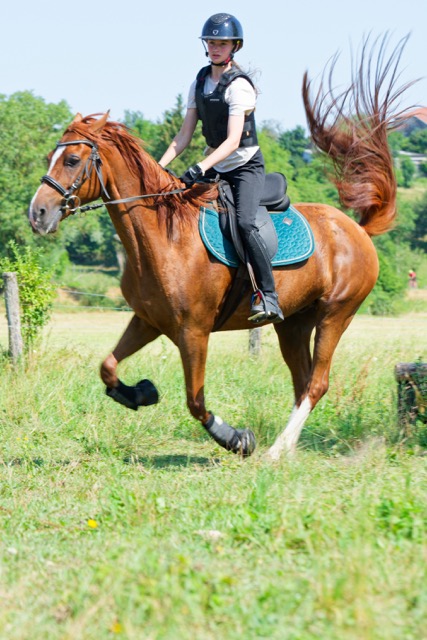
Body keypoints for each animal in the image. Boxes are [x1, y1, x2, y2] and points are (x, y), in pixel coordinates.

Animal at [28, 36, 412, 460]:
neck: (164, 237)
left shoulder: (193, 331)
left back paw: (275, 451)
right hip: (294, 324)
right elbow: (107, 368)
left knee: (316, 383)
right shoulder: (148, 320)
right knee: (303, 382)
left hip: (335, 314)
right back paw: (287, 449)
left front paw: (236, 438)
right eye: (51, 157)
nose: (37, 213)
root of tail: (356, 229)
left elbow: (195, 401)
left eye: (72, 159)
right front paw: (140, 393)